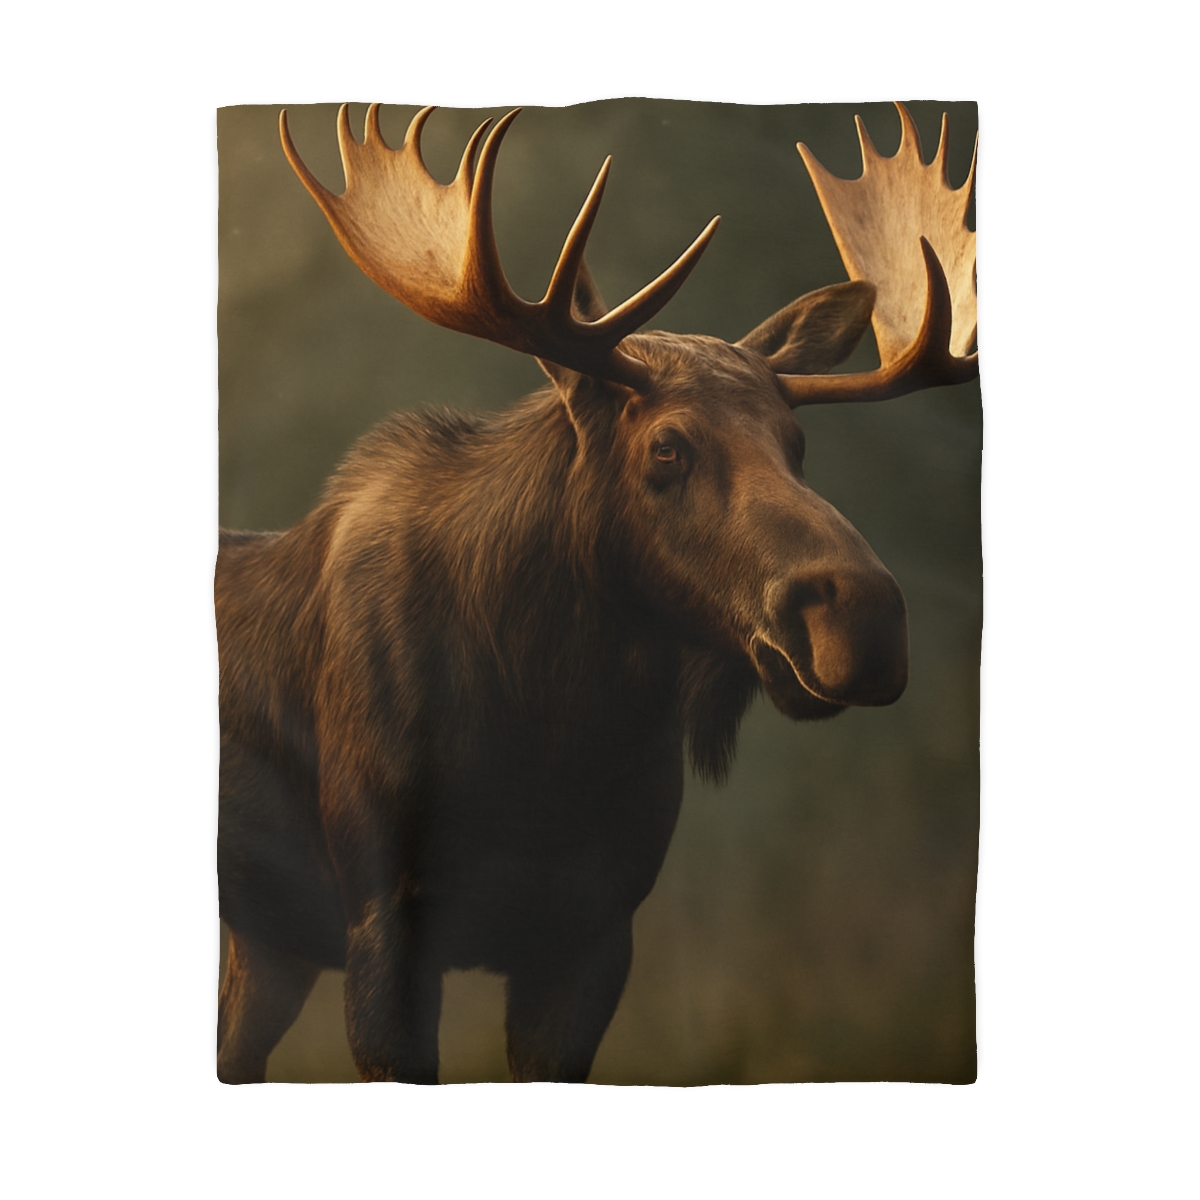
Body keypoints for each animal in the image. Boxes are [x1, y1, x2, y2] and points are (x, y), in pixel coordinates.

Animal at [216, 101, 978, 1084]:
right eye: (667, 447)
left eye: (796, 444)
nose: (865, 618)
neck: (550, 734)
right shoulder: (386, 919)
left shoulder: (594, 935)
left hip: (269, 945)